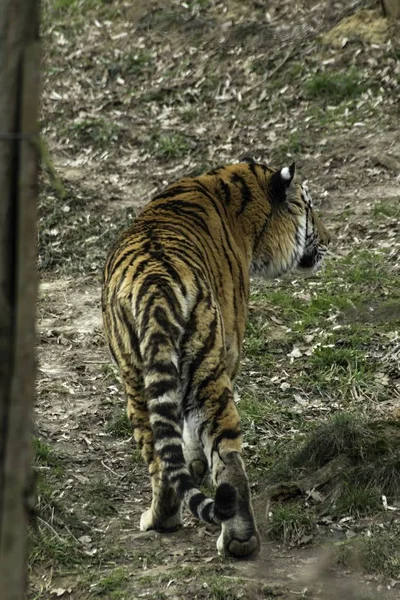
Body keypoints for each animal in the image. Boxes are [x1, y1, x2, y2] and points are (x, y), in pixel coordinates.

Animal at [101, 158, 330, 556]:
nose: (329, 240)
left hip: (143, 376)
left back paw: (166, 520)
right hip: (199, 365)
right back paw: (235, 538)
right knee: (225, 454)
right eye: (310, 208)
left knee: (173, 456)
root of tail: (155, 285)